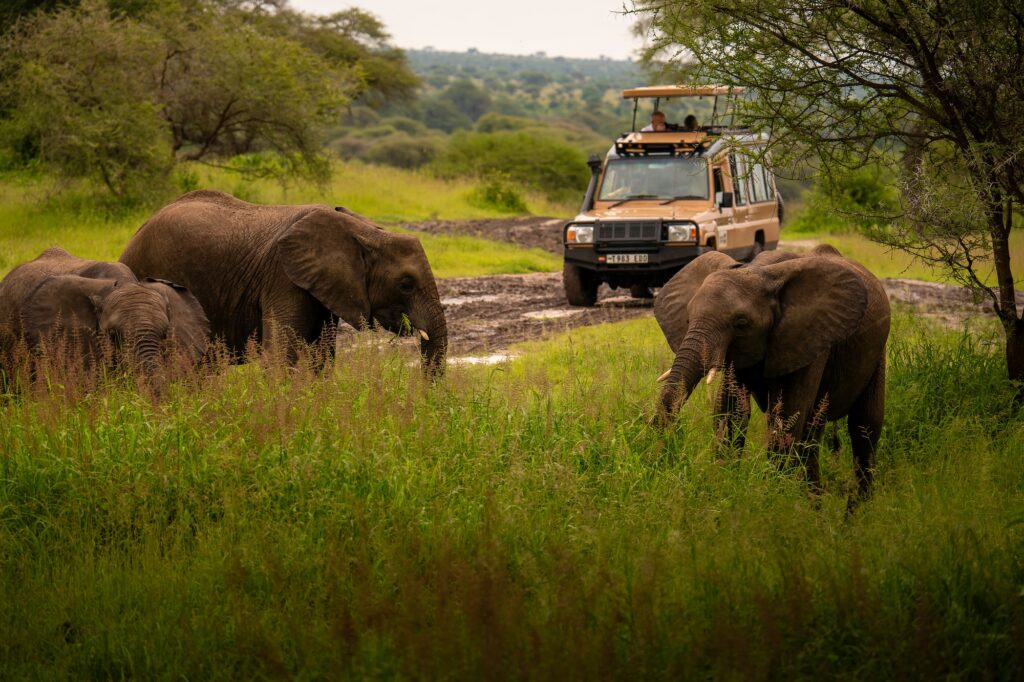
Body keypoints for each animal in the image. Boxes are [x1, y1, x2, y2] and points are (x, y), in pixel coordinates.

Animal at [655, 241, 888, 501]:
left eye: (741, 324)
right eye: (688, 318)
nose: (658, 455)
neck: (759, 271)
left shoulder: (807, 338)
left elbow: (785, 419)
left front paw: (770, 497)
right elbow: (731, 415)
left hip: (878, 351)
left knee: (864, 428)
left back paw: (857, 509)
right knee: (813, 434)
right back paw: (815, 504)